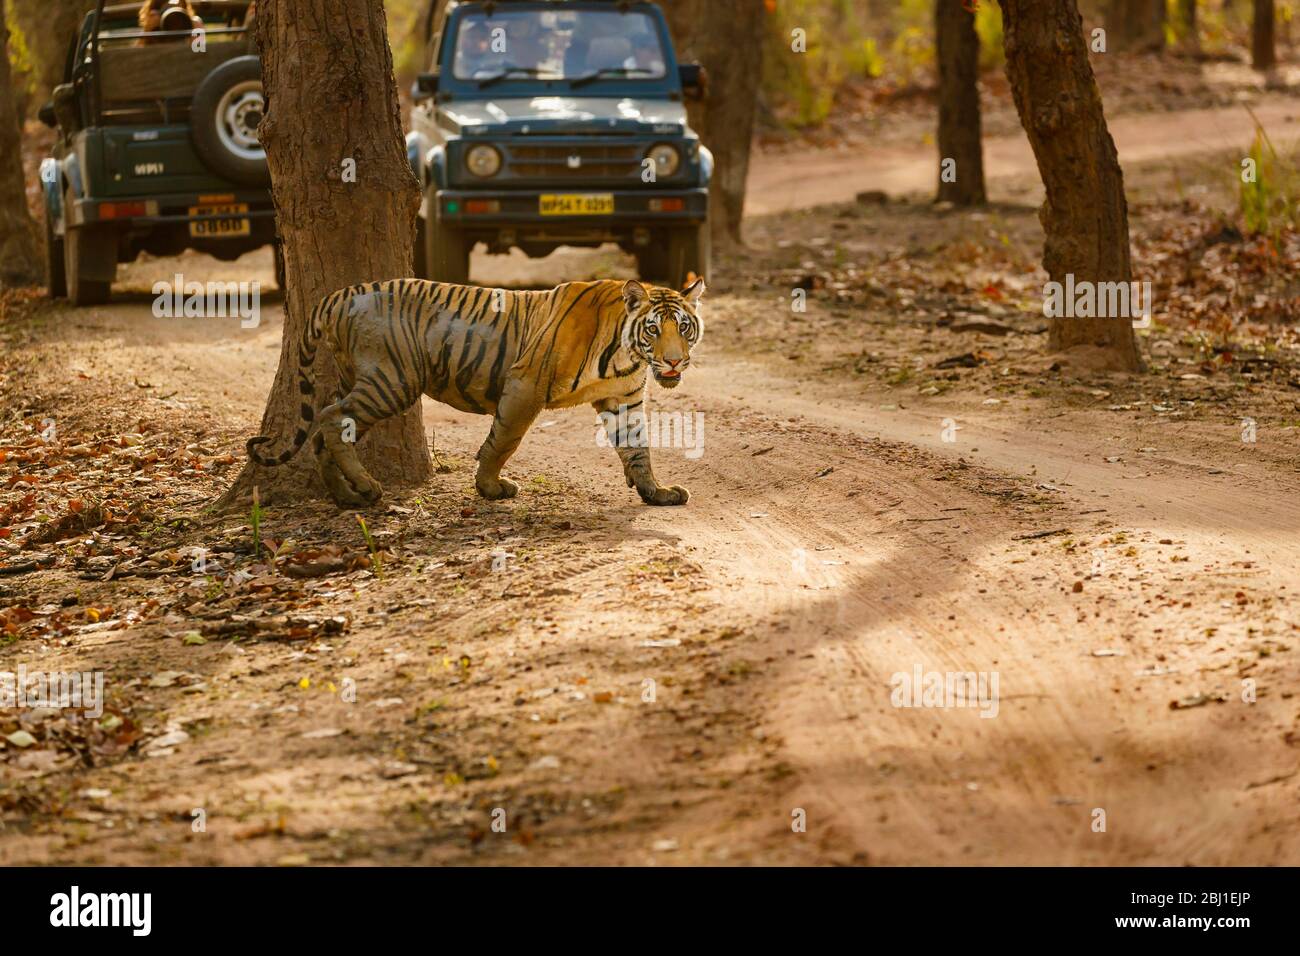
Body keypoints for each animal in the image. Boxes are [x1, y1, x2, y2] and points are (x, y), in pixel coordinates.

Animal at [246, 277, 707, 509]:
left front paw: (655, 493)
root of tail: (341, 294)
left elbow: (638, 448)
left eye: (683, 327)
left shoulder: (623, 399)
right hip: (391, 382)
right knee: (329, 418)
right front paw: (490, 487)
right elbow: (503, 440)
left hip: (361, 378)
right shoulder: (525, 386)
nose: (673, 363)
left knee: (325, 427)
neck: (628, 354)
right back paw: (366, 487)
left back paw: (345, 497)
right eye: (654, 329)